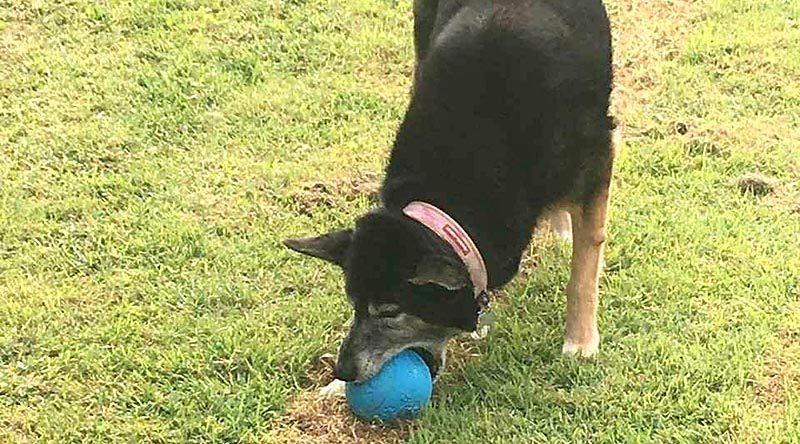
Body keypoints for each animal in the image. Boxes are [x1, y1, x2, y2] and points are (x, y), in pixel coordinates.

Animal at [284, 0, 616, 398]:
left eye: (390, 311)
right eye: (355, 306)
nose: (343, 370)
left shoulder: (599, 157)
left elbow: (585, 266)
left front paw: (580, 339)